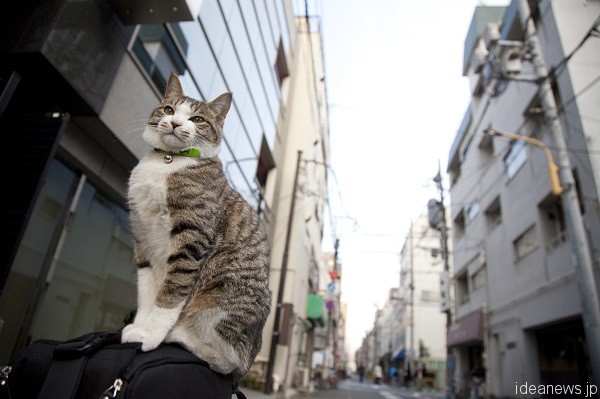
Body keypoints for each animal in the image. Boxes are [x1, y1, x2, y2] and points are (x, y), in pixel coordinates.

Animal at [121, 73, 270, 382]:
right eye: (169, 109)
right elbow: (147, 294)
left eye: (198, 119)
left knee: (227, 360)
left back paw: (178, 335)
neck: (168, 161)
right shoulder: (142, 237)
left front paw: (151, 334)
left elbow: (170, 293)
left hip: (223, 301)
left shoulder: (192, 238)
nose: (176, 123)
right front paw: (139, 327)